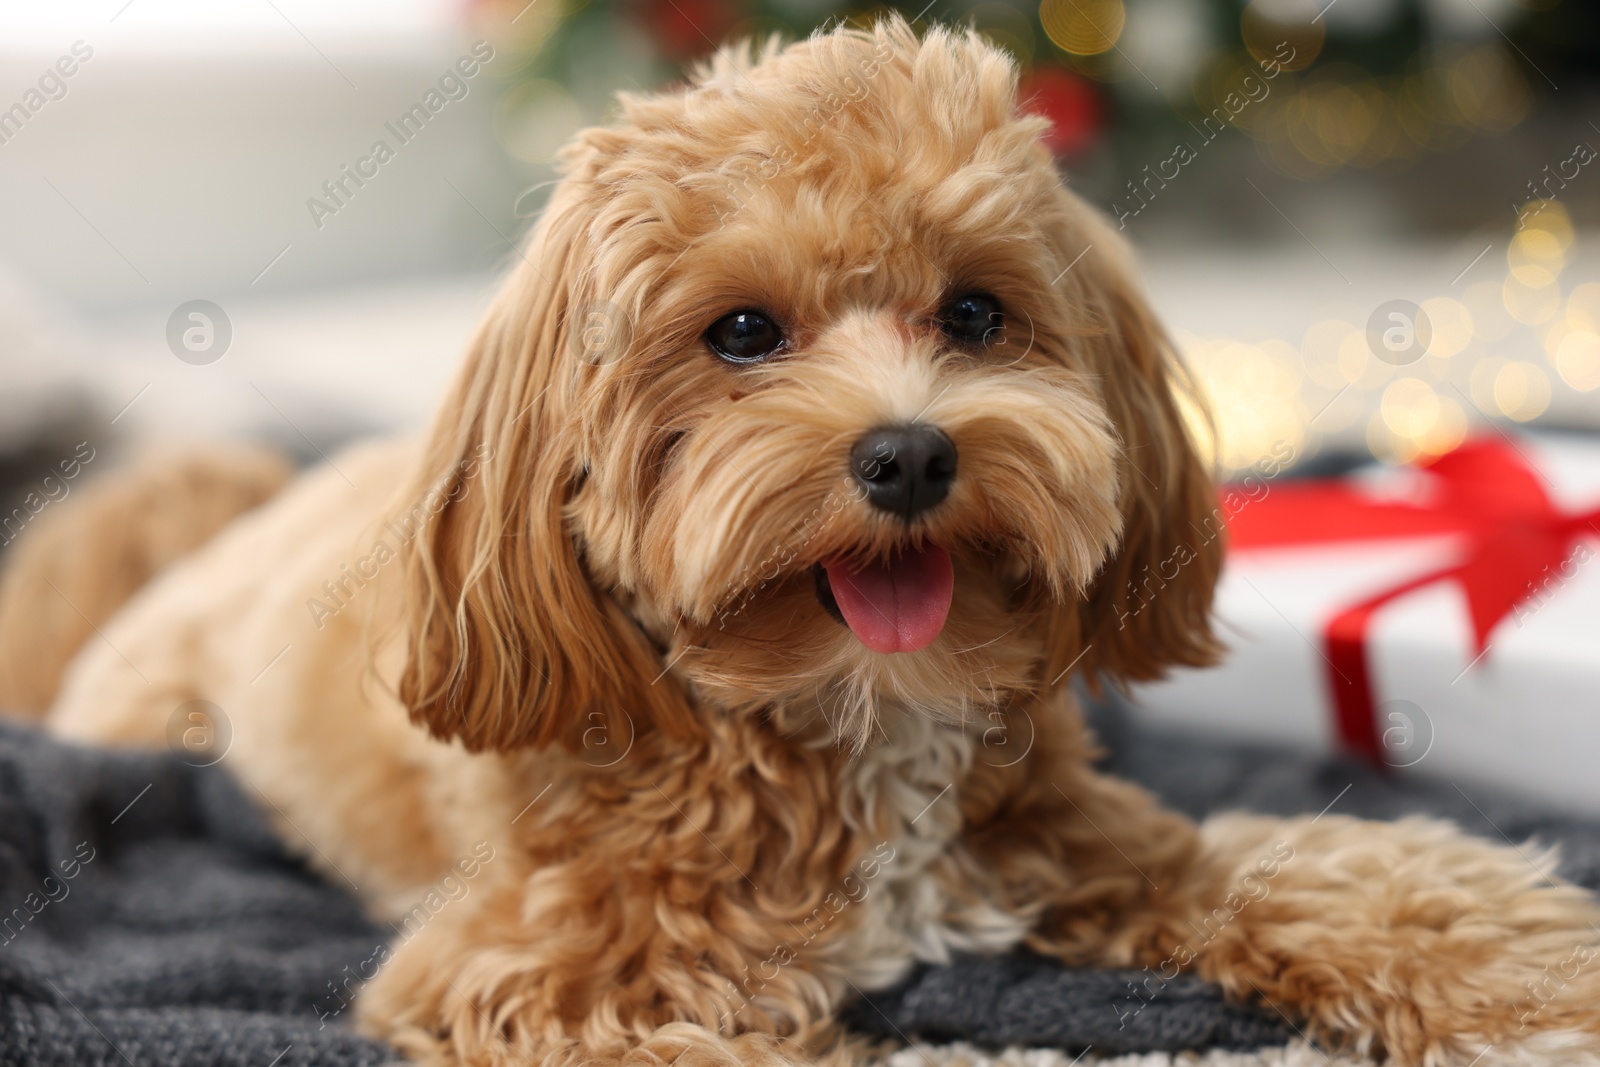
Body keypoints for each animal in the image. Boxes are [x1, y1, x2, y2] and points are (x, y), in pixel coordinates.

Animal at [3, 16, 1600, 1067]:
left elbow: (1356, 873)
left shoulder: (1106, 847)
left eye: (975, 312)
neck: (849, 720)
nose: (908, 452)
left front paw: (1533, 988)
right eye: (741, 332)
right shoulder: (542, 974)